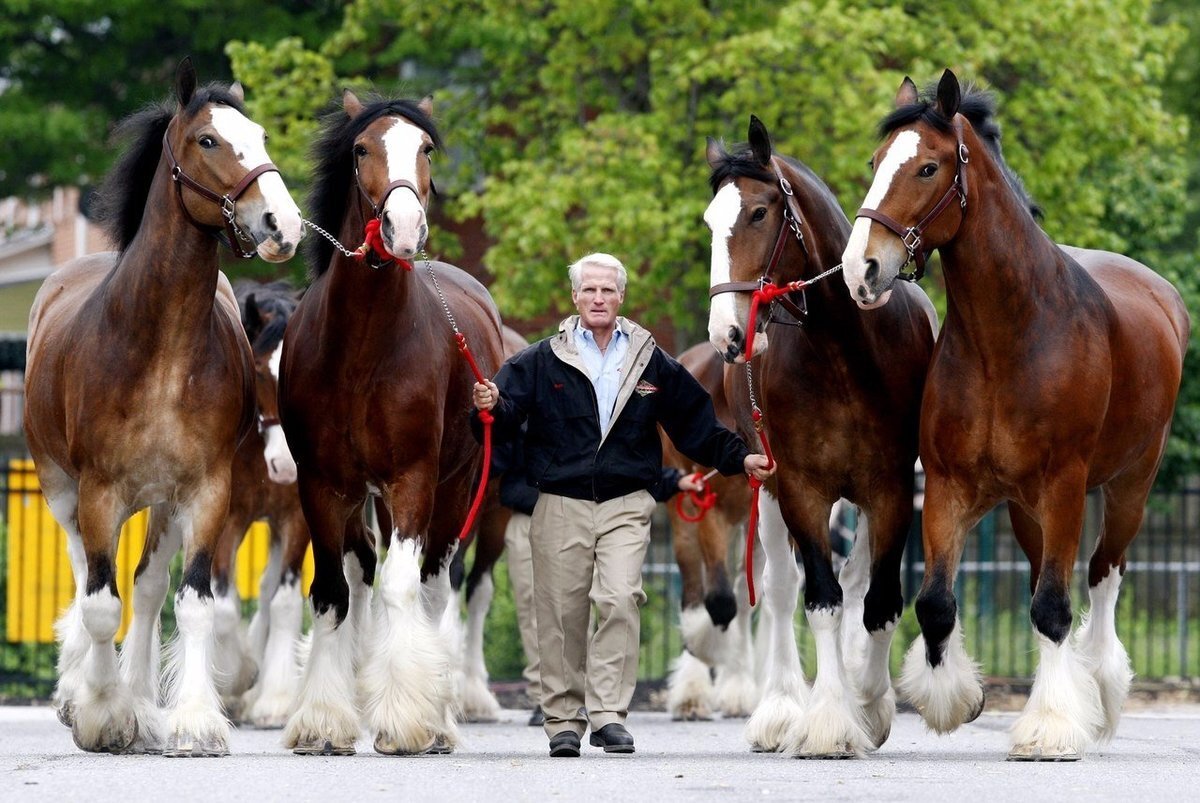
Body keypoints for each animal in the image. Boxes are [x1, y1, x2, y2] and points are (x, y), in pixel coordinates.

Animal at [24, 59, 304, 753]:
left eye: (259, 135)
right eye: (208, 141)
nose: (282, 225)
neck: (161, 353)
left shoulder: (205, 493)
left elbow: (193, 604)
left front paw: (194, 720)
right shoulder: (99, 492)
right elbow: (101, 604)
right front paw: (101, 714)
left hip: (161, 504)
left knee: (148, 591)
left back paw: (144, 700)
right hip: (63, 490)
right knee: (85, 576)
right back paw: (83, 690)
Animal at [278, 90, 504, 753]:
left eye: (425, 147)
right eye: (360, 149)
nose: (405, 228)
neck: (361, 347)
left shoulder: (413, 479)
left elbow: (402, 588)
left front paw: (406, 719)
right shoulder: (323, 486)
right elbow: (332, 593)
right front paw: (323, 721)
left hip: (455, 493)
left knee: (431, 587)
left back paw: (440, 718)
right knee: (360, 579)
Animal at [700, 115, 936, 753]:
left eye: (759, 213)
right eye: (709, 221)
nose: (727, 333)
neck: (844, 354)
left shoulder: (890, 488)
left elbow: (879, 601)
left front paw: (870, 704)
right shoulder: (800, 489)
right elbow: (820, 600)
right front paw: (829, 719)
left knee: (856, 581)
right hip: (769, 489)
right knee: (783, 589)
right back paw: (781, 706)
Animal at [844, 70, 1190, 758]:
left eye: (927, 166)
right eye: (875, 162)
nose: (860, 269)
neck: (1009, 337)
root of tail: (1163, 296)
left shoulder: (1063, 486)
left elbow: (1055, 606)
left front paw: (1051, 727)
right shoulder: (949, 487)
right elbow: (937, 603)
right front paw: (956, 698)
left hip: (1127, 488)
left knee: (1103, 577)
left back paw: (1099, 694)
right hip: (1031, 511)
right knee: (1042, 581)